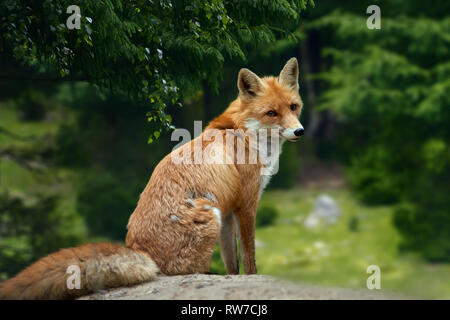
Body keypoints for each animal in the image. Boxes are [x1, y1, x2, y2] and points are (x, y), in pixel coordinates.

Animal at [0, 58, 304, 300]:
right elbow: (250, 259)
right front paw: (252, 277)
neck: (242, 132)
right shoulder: (246, 204)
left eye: (294, 107)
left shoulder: (230, 210)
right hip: (210, 216)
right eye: (271, 113)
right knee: (186, 272)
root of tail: (140, 250)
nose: (300, 131)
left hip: (217, 215)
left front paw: (234, 278)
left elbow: (233, 263)